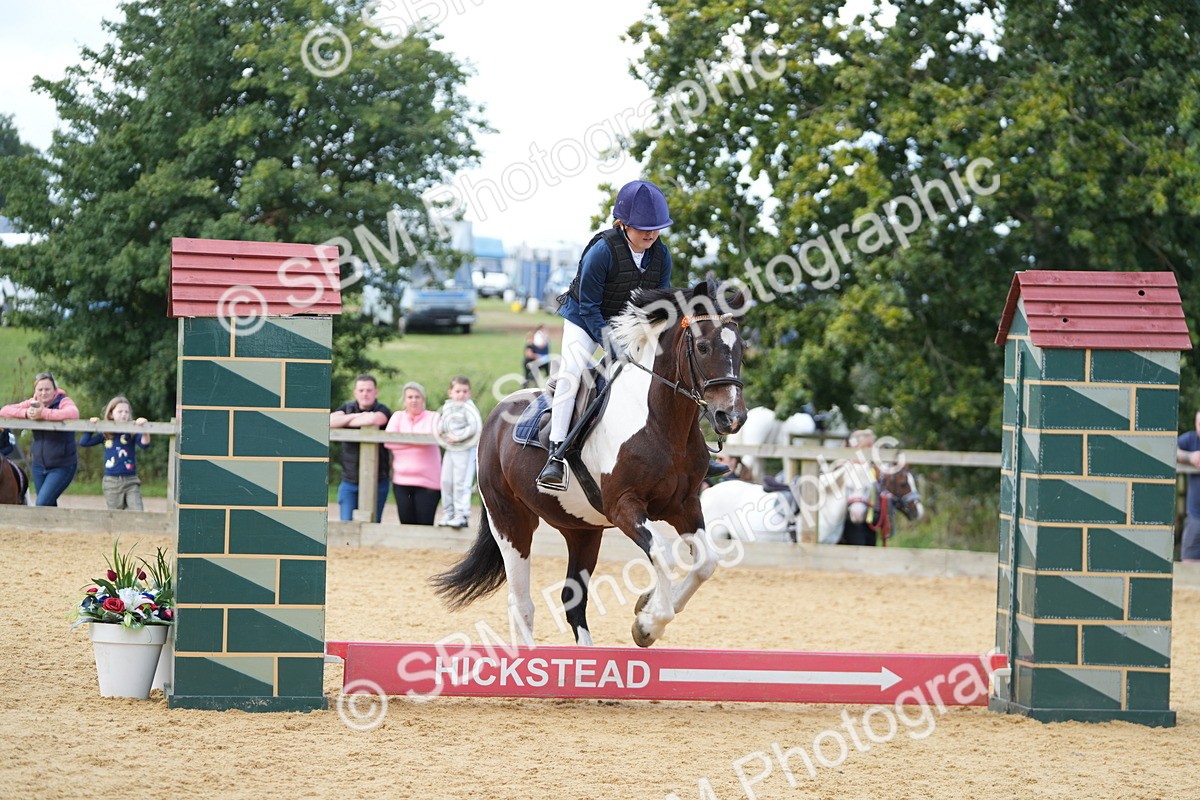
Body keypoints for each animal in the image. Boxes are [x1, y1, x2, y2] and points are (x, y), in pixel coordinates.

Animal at [432, 280, 748, 647]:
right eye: (702, 346)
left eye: (740, 348)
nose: (732, 417)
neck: (660, 423)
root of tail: (496, 414)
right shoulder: (624, 506)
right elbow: (663, 554)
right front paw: (648, 624)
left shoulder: (683, 505)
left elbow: (706, 563)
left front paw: (646, 609)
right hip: (510, 521)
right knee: (521, 602)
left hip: (581, 531)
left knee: (574, 601)